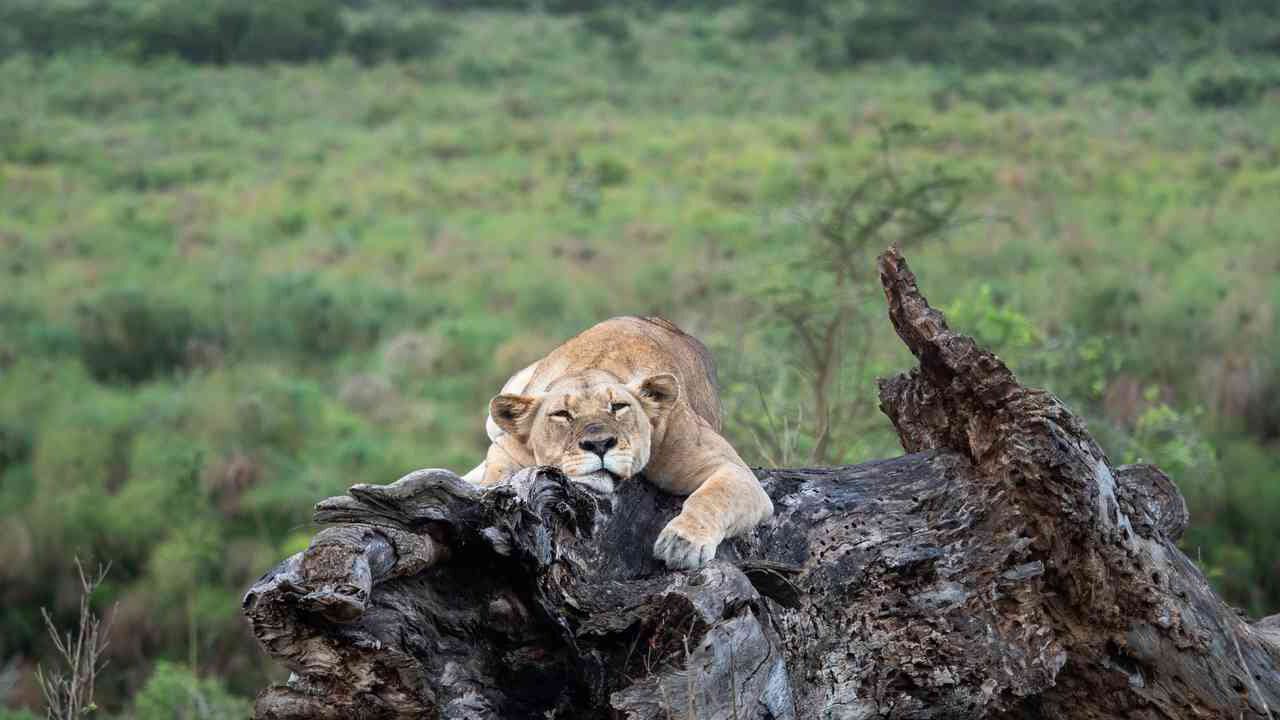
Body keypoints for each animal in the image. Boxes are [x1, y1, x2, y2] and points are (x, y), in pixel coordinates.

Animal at [462, 316, 773, 570]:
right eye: (562, 414)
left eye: (618, 407)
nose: (599, 444)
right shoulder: (508, 448)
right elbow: (494, 477)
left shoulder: (732, 470)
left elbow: (713, 497)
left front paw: (682, 544)